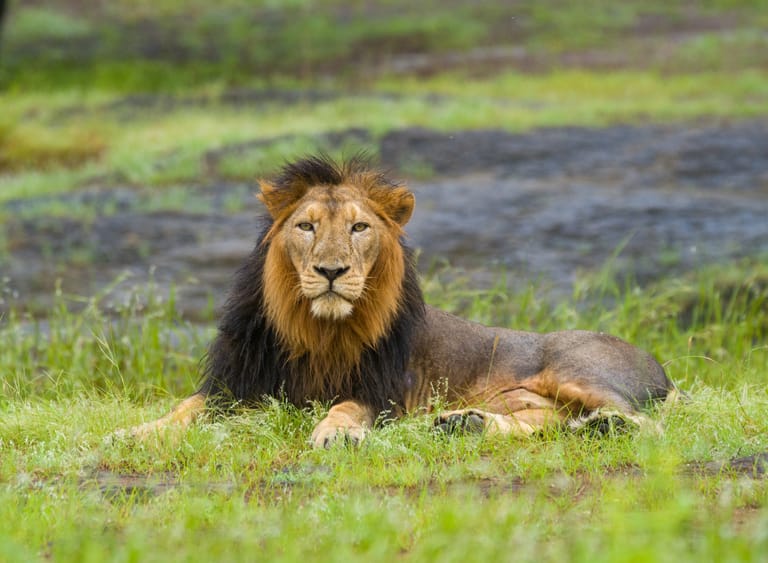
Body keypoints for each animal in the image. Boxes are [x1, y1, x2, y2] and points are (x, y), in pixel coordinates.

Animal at [130, 154, 673, 447]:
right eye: (306, 226)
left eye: (359, 227)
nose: (331, 271)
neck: (316, 328)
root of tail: (660, 366)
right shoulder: (233, 385)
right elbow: (184, 407)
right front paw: (134, 433)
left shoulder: (383, 392)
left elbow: (347, 407)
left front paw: (334, 434)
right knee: (552, 422)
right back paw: (466, 424)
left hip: (577, 371)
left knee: (647, 424)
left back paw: (605, 427)